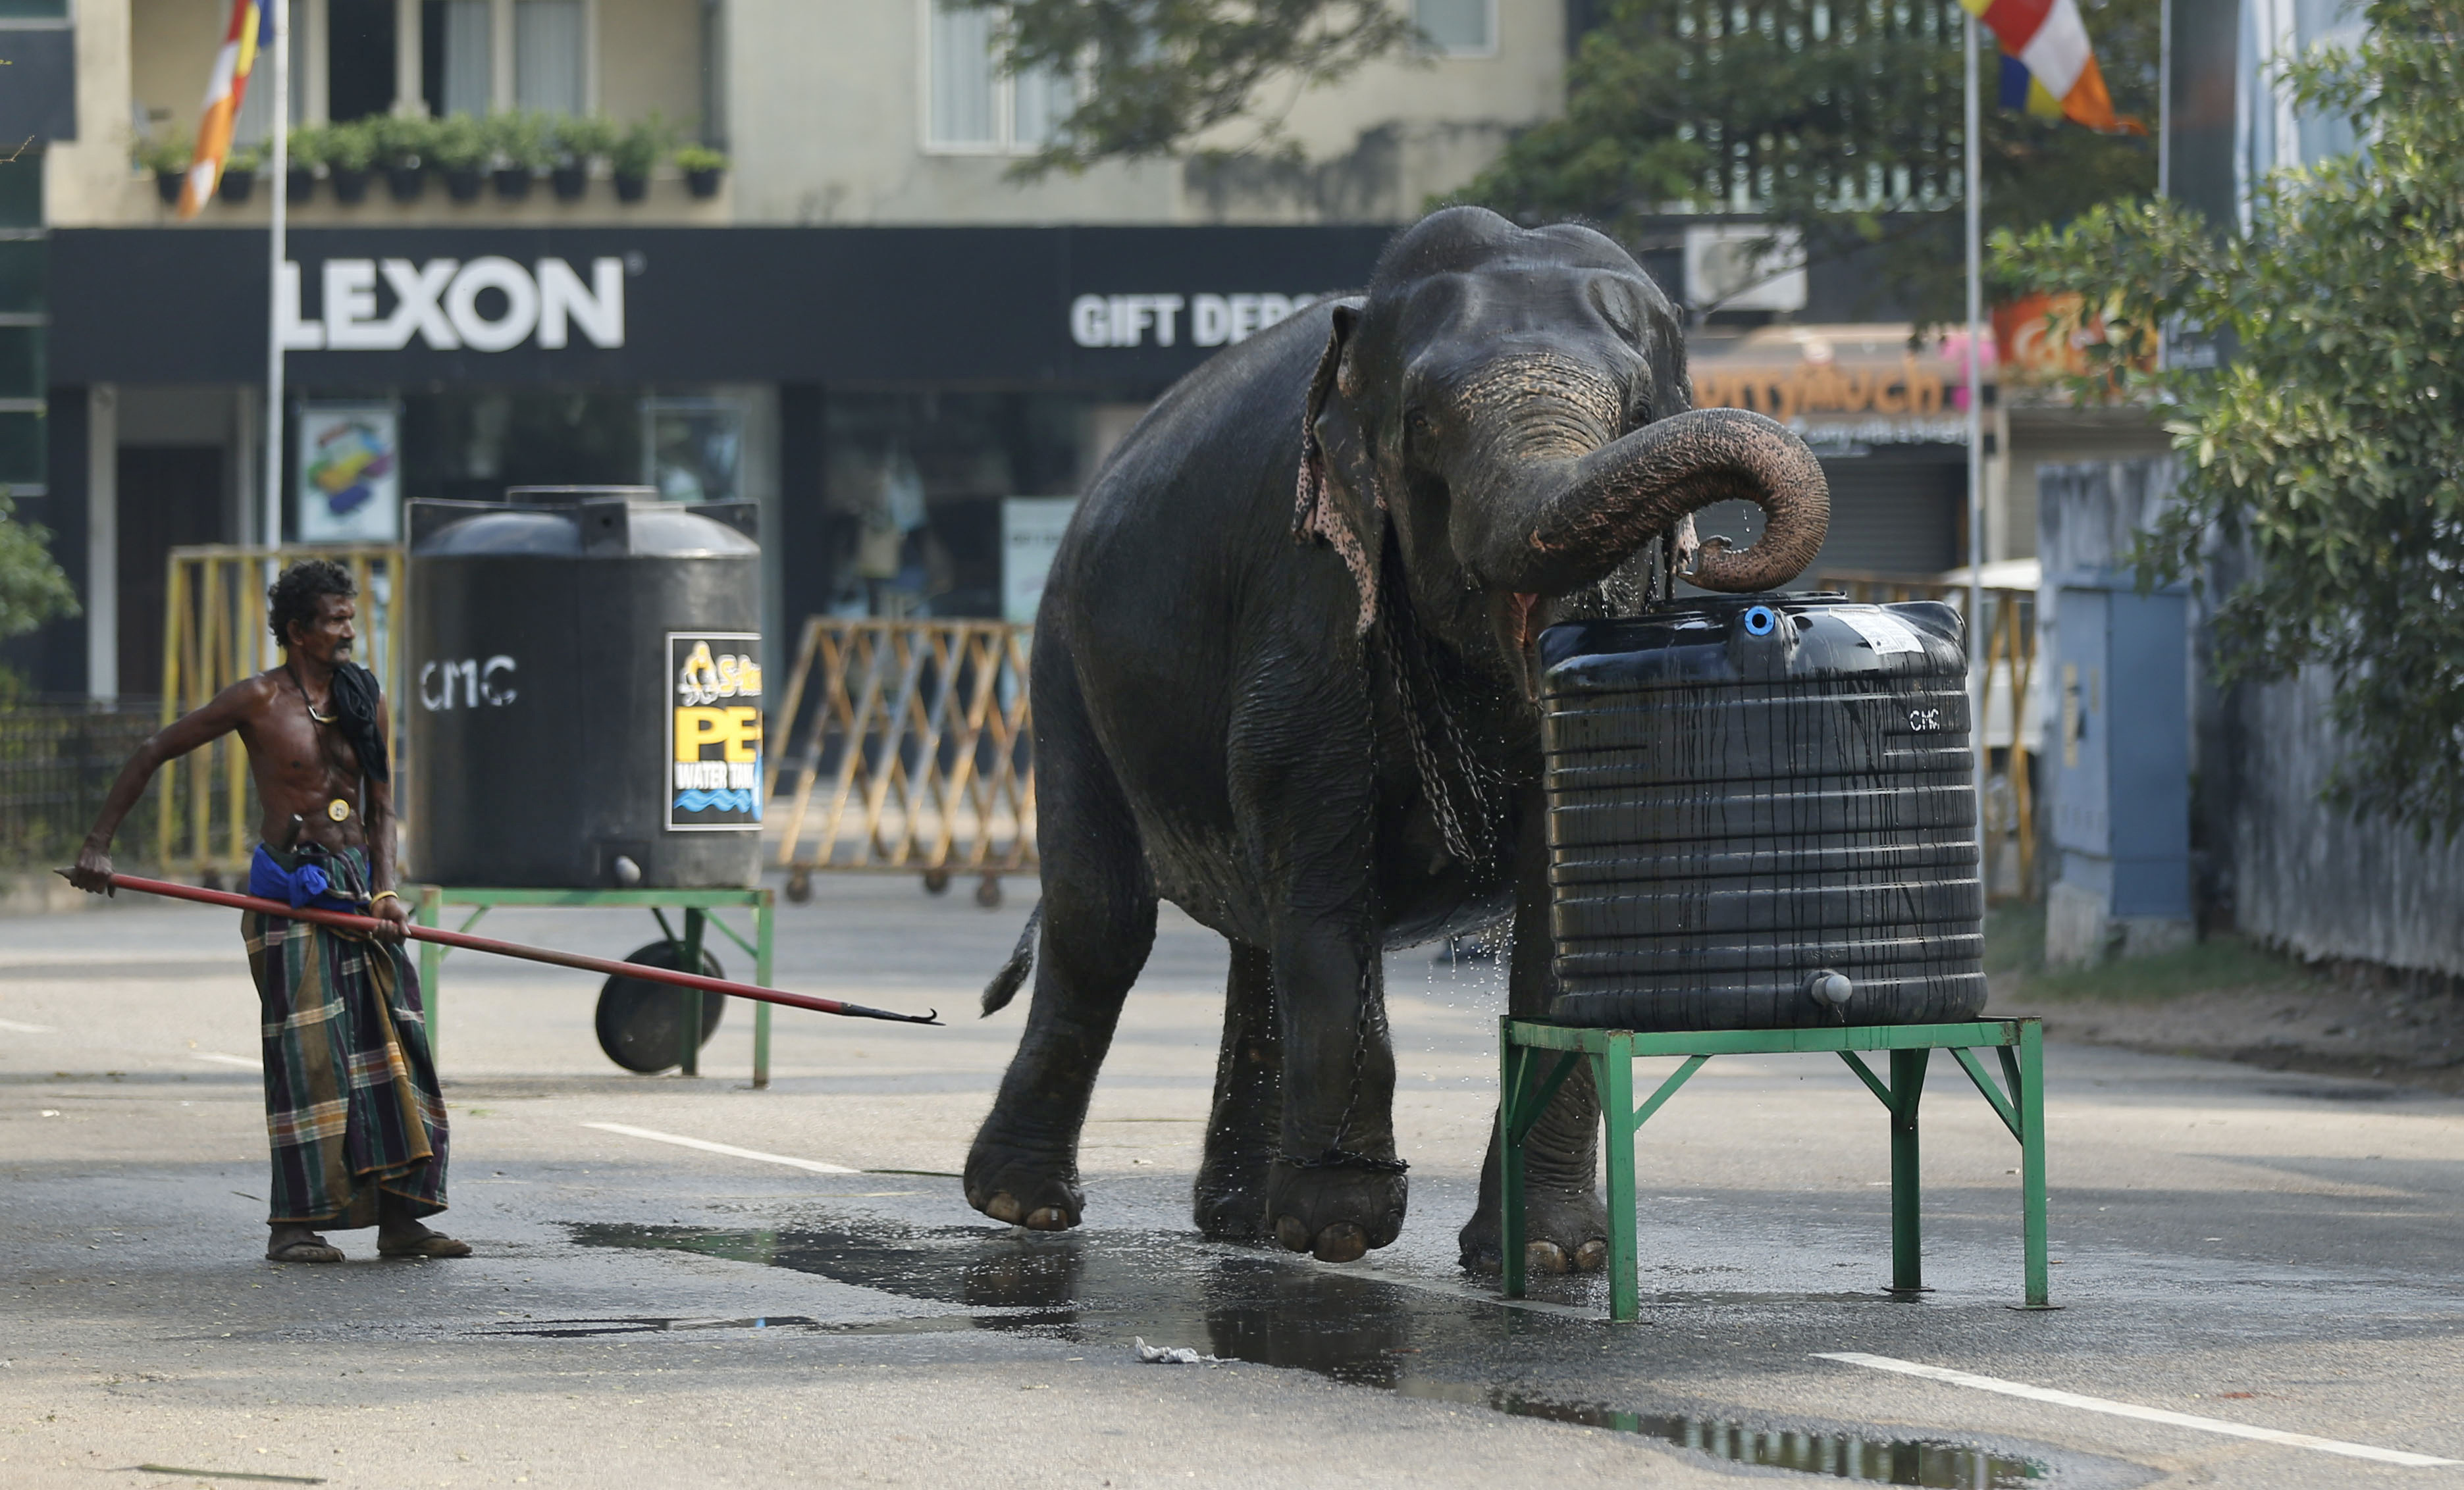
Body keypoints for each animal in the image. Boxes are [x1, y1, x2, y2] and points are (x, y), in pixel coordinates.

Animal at [964, 206, 1829, 1271]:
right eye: (1424, 427)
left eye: (1636, 409)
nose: (1718, 550)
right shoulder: (1311, 597)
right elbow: (1324, 879)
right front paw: (1338, 1229)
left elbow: (1570, 908)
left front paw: (1546, 1258)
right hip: (1064, 667)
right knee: (1106, 920)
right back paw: (1027, 1207)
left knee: (1254, 937)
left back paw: (1237, 1222)